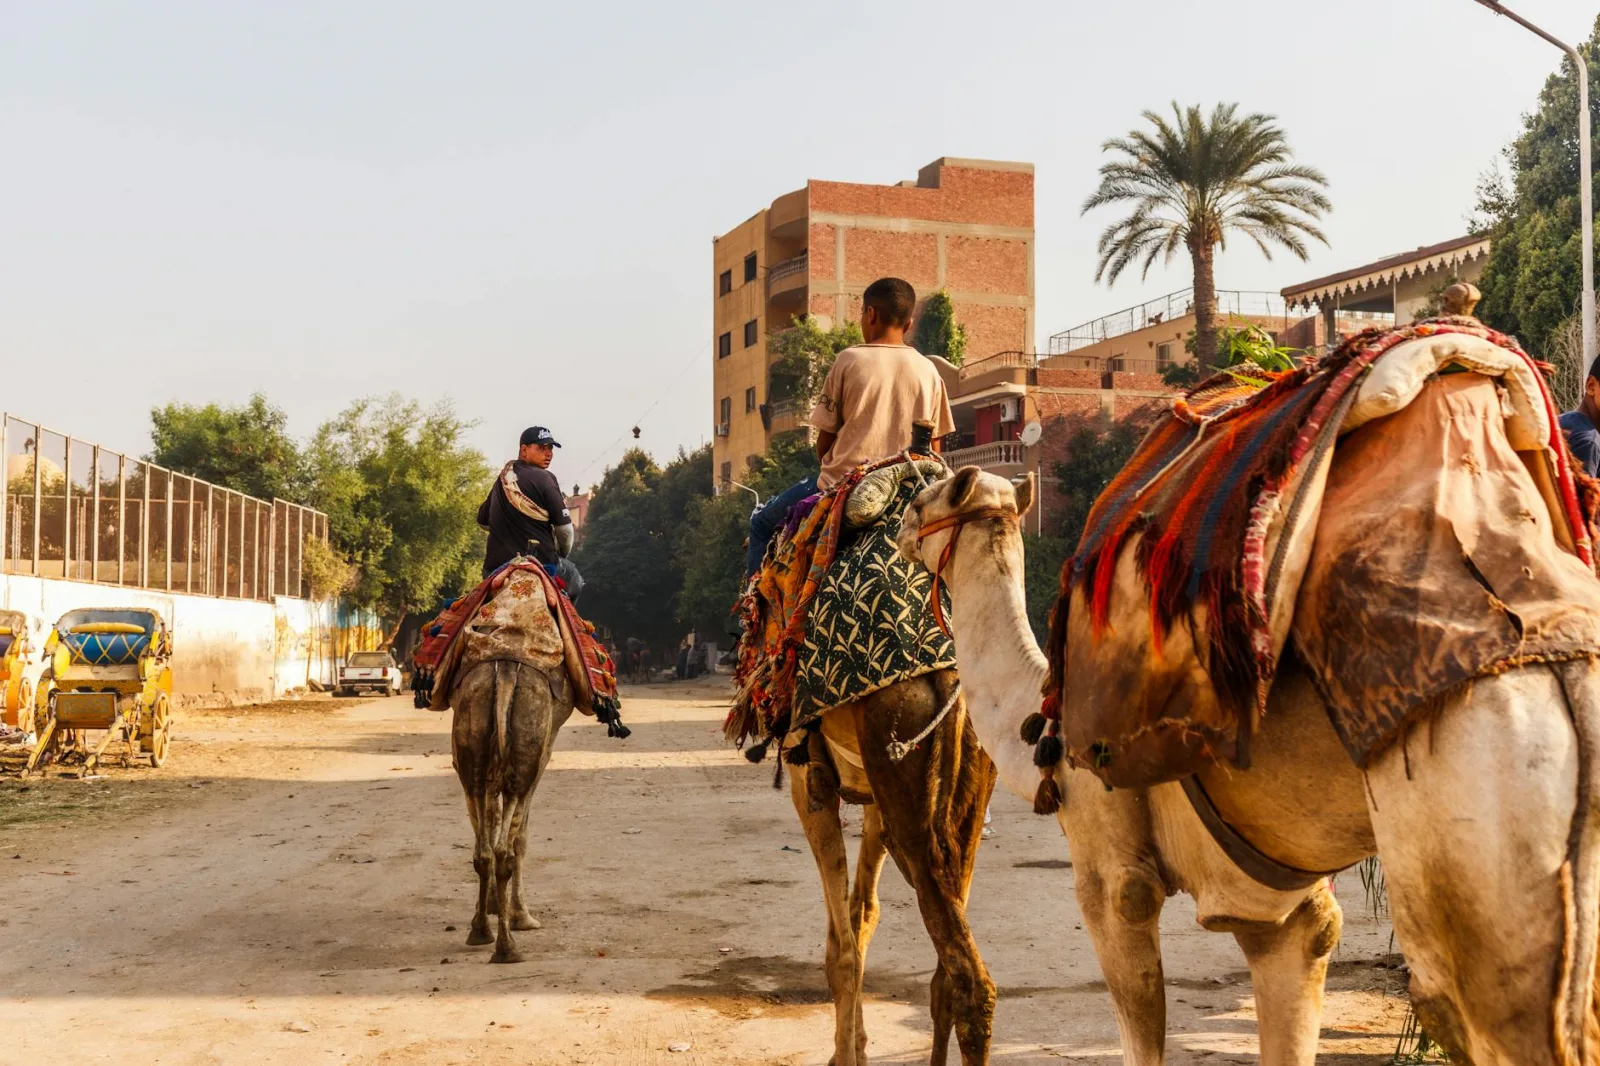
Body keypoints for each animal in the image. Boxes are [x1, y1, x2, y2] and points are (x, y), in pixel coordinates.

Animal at [900, 424, 1600, 1064]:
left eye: (924, 499)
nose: (901, 527)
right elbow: (1302, 962)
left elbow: (1140, 1020)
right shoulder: (1279, 907)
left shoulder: (1112, 867)